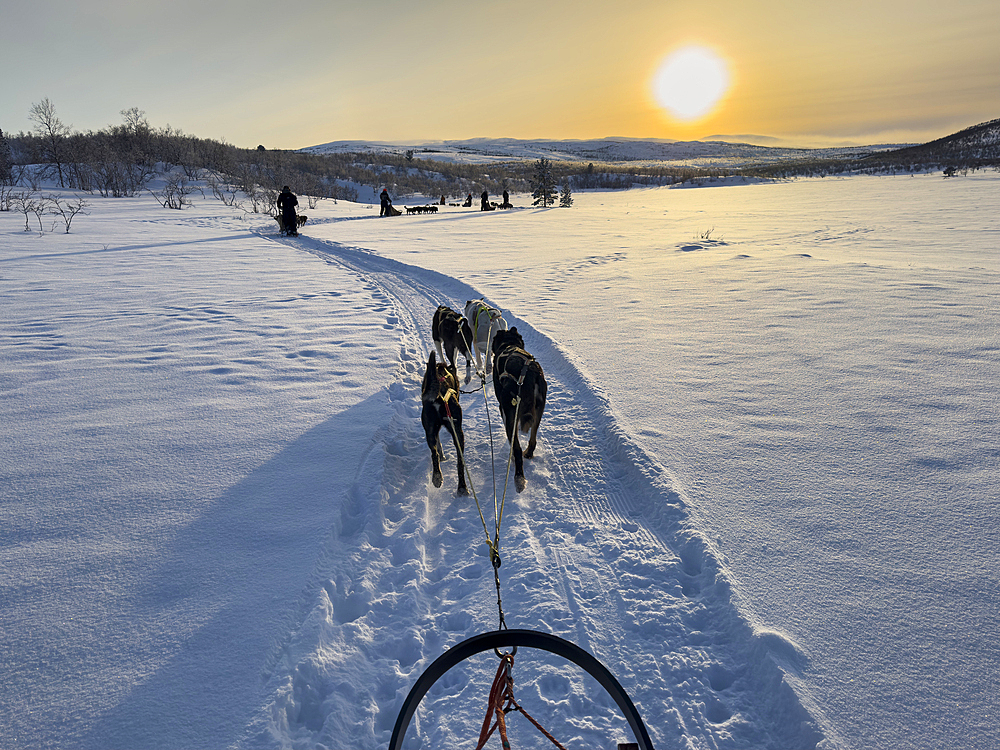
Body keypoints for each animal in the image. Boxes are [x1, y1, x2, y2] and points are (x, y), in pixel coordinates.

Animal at [422, 350, 468, 496]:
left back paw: (437, 477)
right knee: (459, 463)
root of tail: (439, 398)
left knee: (434, 453)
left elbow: (438, 446)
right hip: (458, 433)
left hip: (430, 431)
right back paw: (462, 487)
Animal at [490, 328, 548, 494]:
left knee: (516, 449)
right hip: (538, 413)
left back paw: (519, 477)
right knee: (533, 439)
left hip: (511, 413)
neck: (509, 343)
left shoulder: (504, 411)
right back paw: (528, 453)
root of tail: (530, 374)